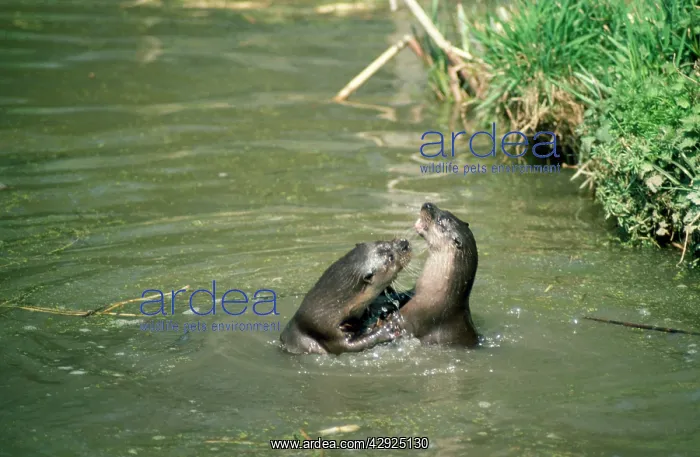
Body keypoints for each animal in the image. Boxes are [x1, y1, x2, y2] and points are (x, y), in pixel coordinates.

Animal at [280, 239, 412, 355]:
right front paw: (387, 329)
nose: (405, 243)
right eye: (391, 257)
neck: (331, 307)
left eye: (387, 241)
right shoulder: (325, 331)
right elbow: (350, 346)